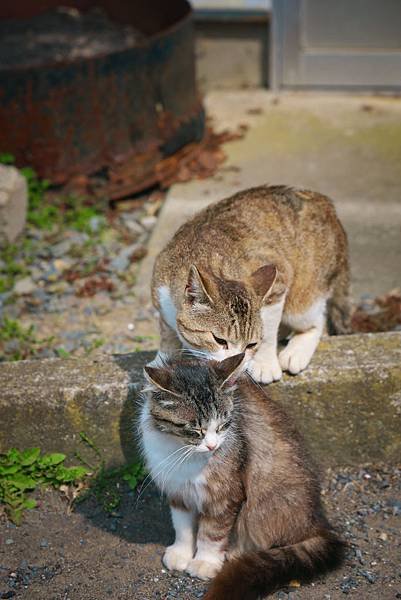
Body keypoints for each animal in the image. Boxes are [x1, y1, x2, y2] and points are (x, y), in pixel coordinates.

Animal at [138, 352, 344, 600]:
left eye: (223, 424)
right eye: (195, 430)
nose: (212, 446)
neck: (181, 452)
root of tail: (317, 525)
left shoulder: (226, 496)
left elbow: (212, 533)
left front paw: (204, 562)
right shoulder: (178, 490)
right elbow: (182, 527)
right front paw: (181, 553)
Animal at [151, 183, 350, 382]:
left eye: (251, 344)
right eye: (219, 340)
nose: (235, 365)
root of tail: (321, 200)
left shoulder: (278, 279)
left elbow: (268, 332)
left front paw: (264, 364)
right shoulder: (161, 296)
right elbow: (167, 334)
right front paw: (162, 362)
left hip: (303, 300)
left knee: (316, 318)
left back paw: (297, 351)